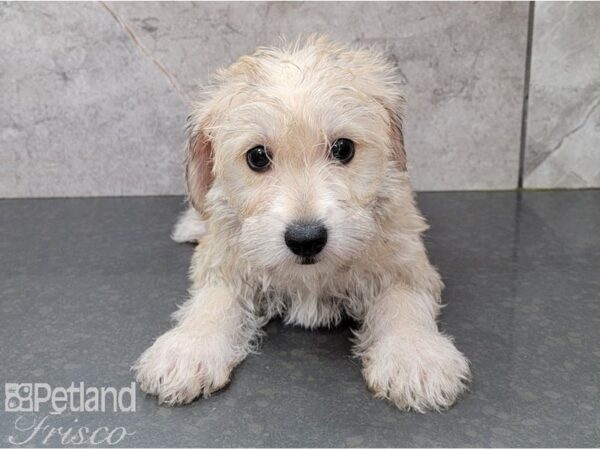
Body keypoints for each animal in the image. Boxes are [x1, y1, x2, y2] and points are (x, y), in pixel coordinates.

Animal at [134, 37, 472, 414]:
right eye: (257, 157)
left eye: (342, 148)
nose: (306, 239)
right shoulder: (223, 262)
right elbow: (213, 301)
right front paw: (187, 349)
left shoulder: (405, 261)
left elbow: (403, 302)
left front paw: (415, 355)